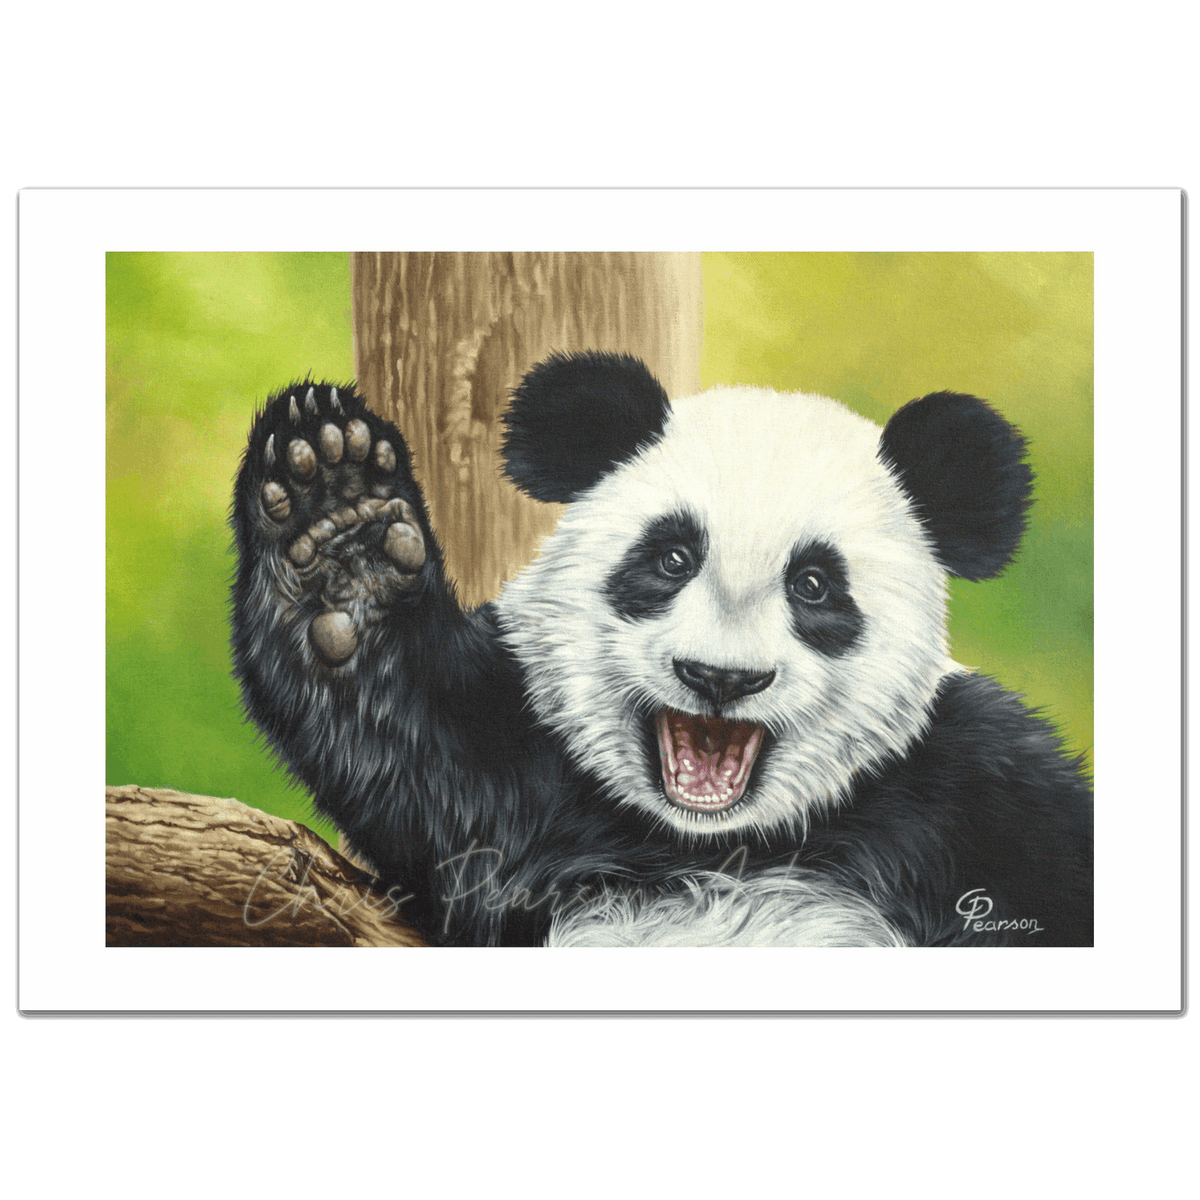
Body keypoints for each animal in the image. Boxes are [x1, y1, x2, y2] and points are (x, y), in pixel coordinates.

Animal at [230, 352, 1093, 947]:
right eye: (672, 558)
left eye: (815, 585)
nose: (720, 678)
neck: (715, 844)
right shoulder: (520, 780)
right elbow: (406, 736)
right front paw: (339, 523)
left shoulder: (975, 788)